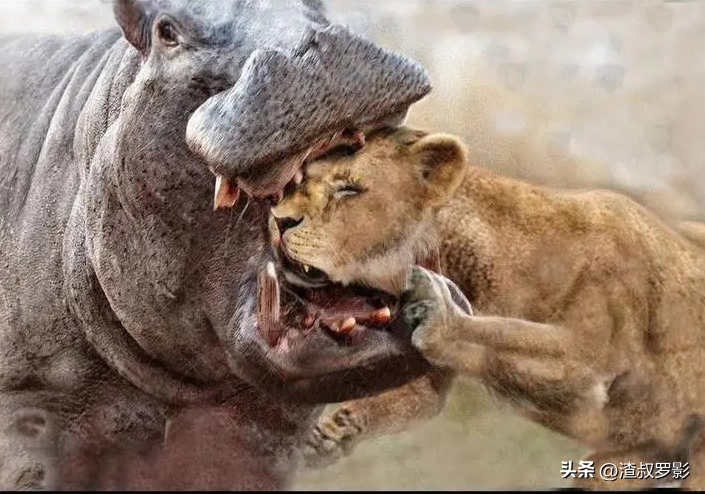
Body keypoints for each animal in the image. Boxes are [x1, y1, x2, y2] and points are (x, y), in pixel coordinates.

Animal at [268, 126, 705, 489]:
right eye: (301, 180)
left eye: (349, 189)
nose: (278, 219)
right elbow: (416, 397)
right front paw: (327, 435)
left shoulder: (595, 357)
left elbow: (499, 335)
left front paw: (441, 316)